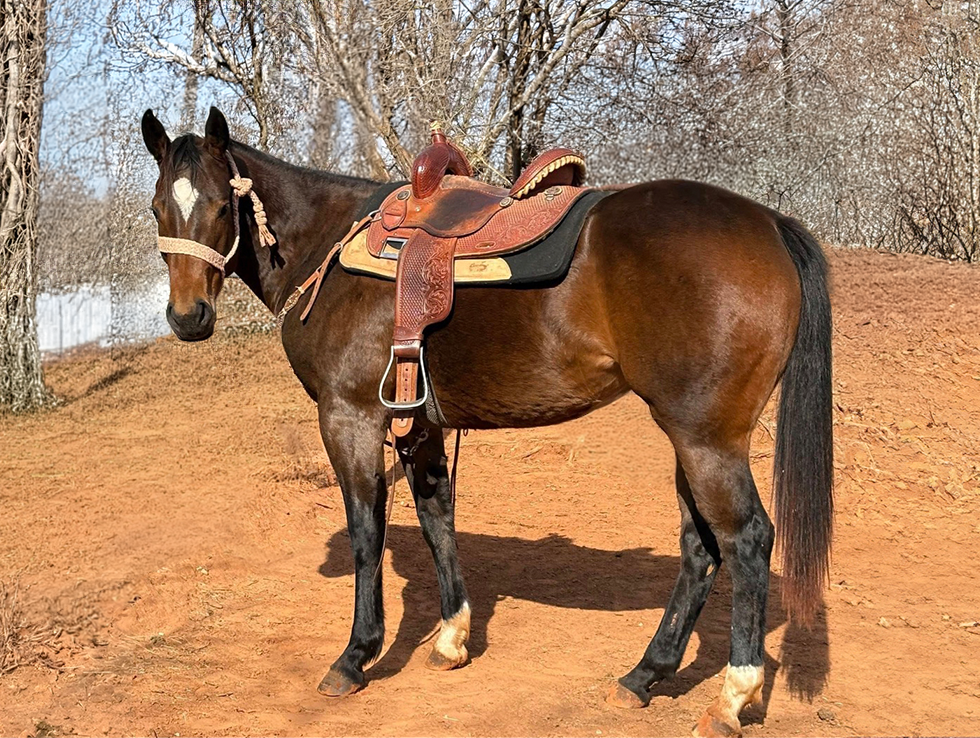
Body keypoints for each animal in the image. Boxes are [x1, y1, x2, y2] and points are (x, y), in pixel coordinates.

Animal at [141, 106, 833, 737]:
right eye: (156, 210)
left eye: (221, 208)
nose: (188, 317)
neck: (330, 246)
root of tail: (769, 223)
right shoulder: (419, 423)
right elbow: (436, 519)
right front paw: (452, 636)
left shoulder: (349, 417)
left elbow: (367, 533)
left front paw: (357, 655)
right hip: (689, 437)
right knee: (700, 547)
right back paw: (645, 674)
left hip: (705, 438)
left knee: (745, 541)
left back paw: (731, 696)